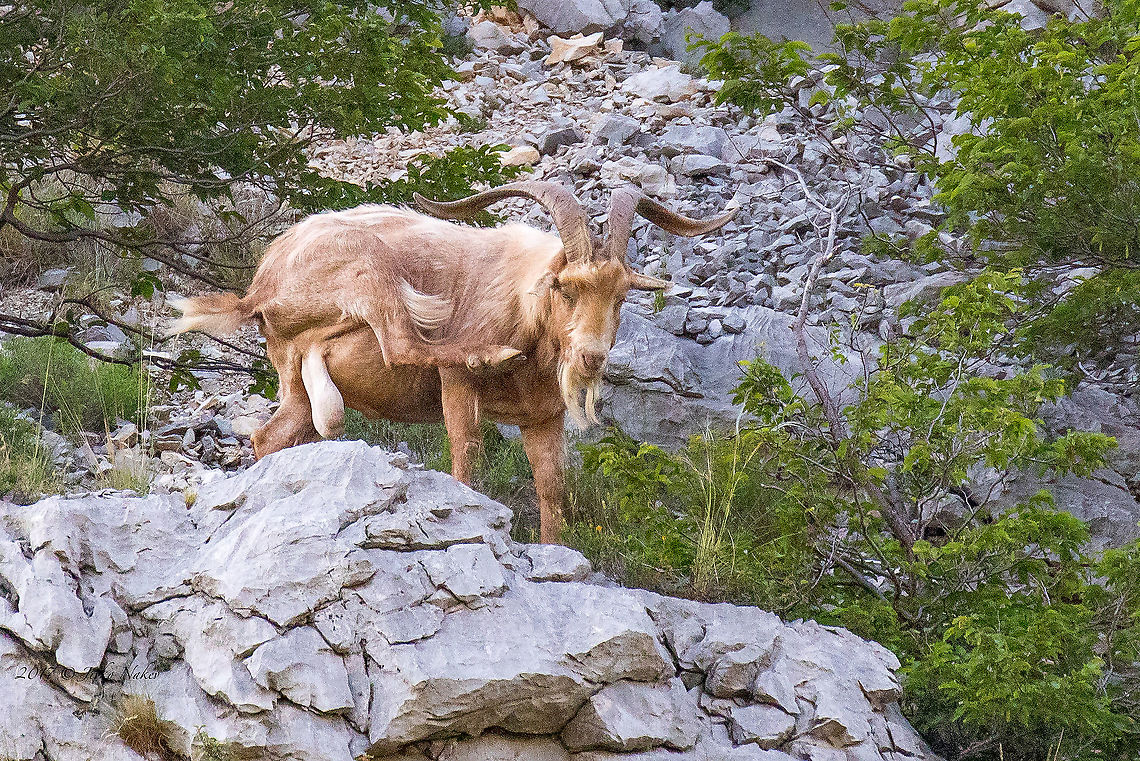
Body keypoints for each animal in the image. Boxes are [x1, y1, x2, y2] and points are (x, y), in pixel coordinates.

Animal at [172, 181, 734, 542]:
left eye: (620, 296)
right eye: (566, 288)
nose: (591, 357)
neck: (526, 305)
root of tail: (262, 284)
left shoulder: (544, 418)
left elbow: (551, 488)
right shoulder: (457, 388)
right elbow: (466, 459)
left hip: (297, 376)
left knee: (275, 434)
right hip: (368, 269)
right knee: (401, 341)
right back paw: (484, 350)